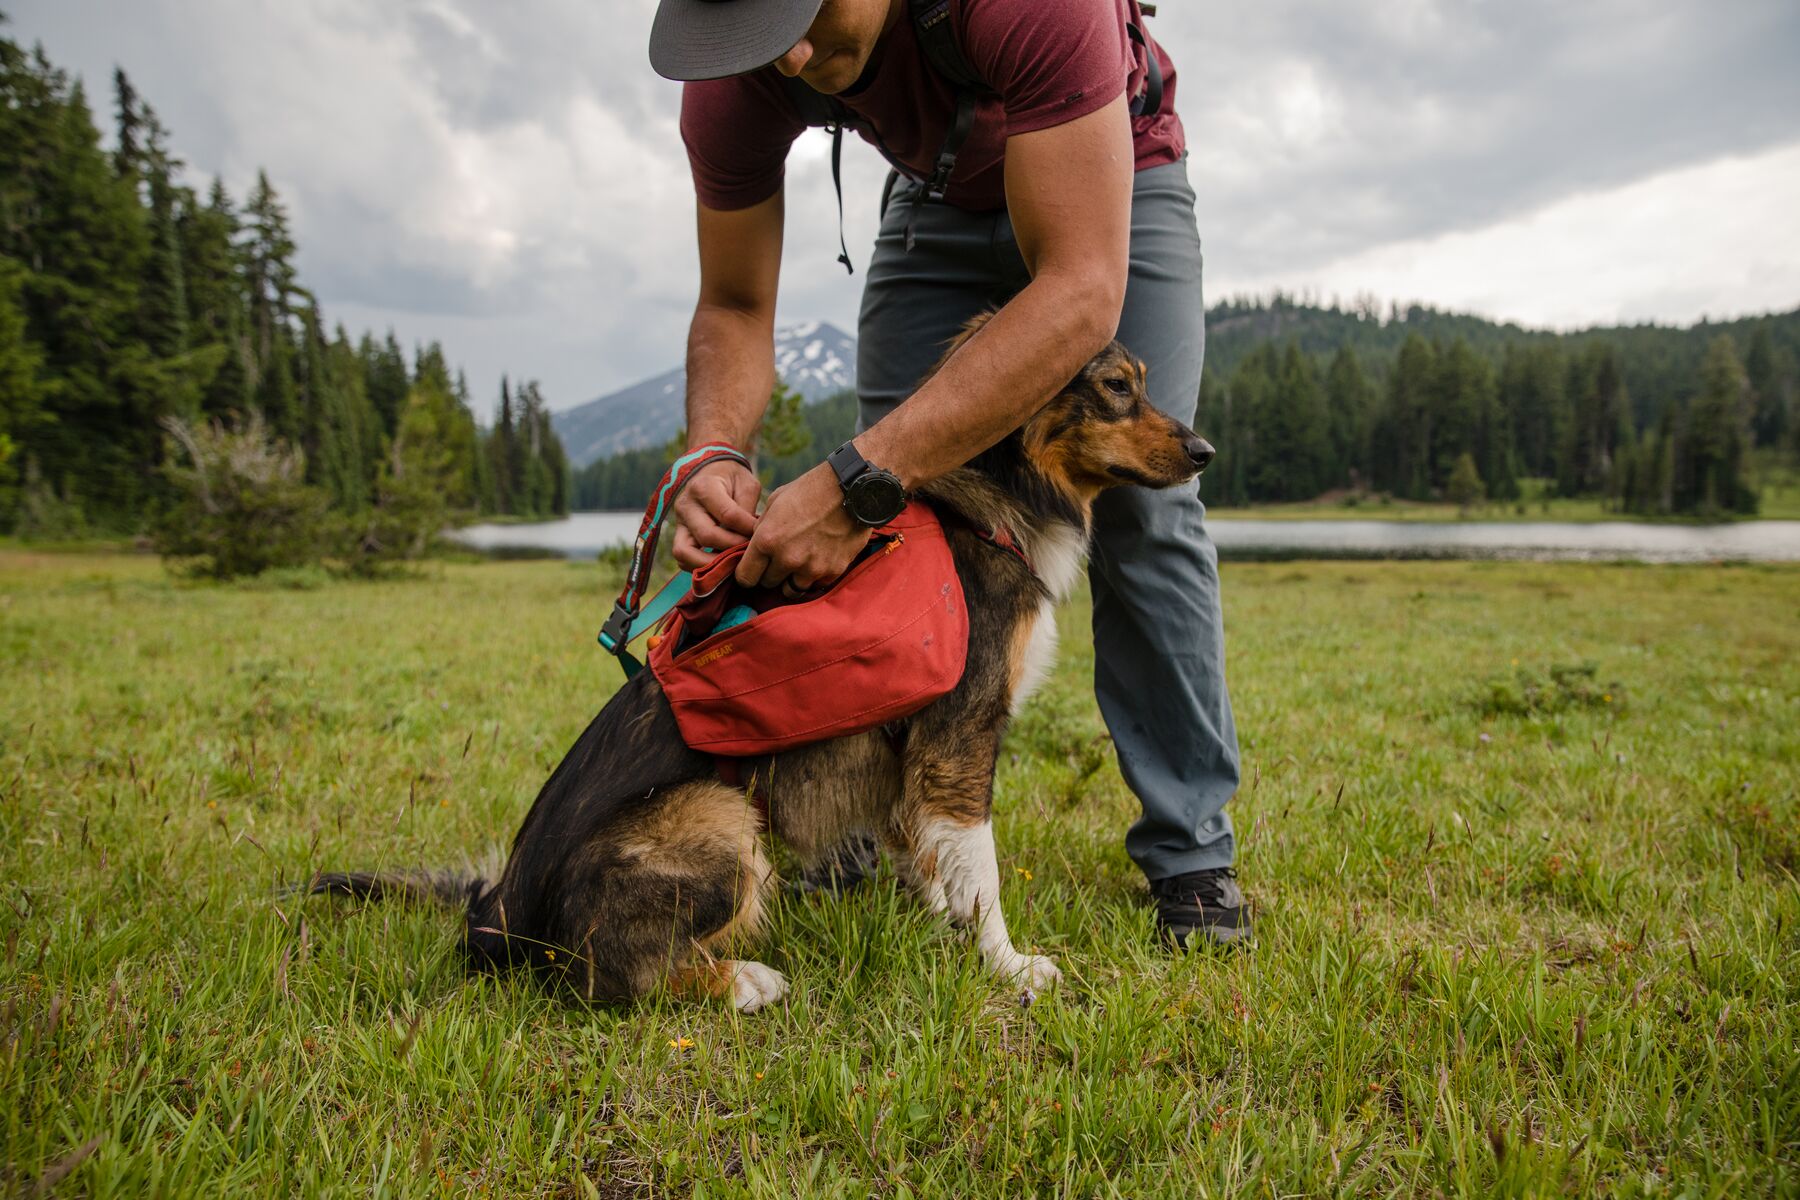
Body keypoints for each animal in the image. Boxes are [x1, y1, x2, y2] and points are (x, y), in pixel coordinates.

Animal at [309, 318, 1216, 1014]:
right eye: (1117, 387)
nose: (1207, 449)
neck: (995, 500)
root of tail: (498, 911)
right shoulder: (960, 737)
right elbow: (981, 875)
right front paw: (1008, 965)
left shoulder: (912, 767)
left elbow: (934, 864)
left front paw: (938, 934)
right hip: (722, 822)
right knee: (601, 977)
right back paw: (742, 979)